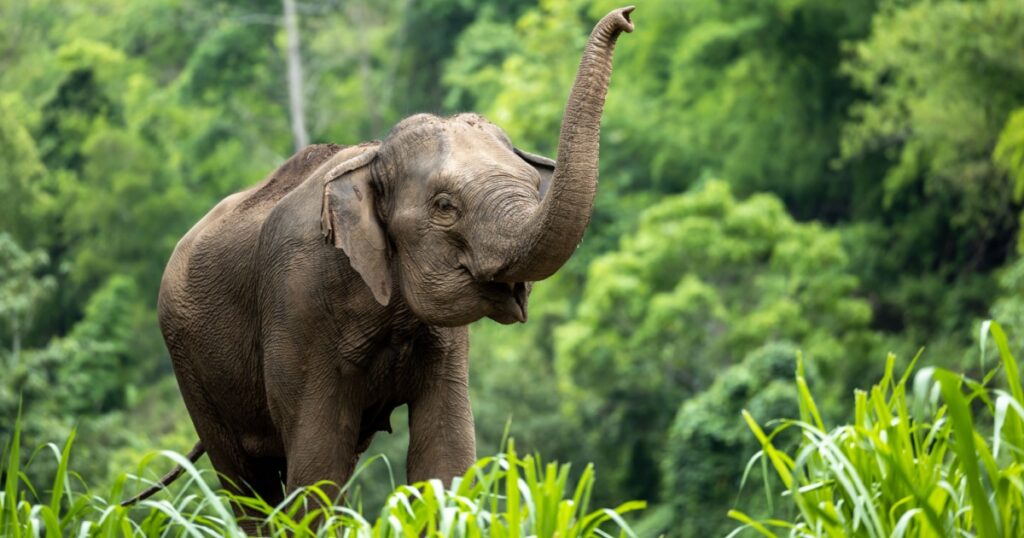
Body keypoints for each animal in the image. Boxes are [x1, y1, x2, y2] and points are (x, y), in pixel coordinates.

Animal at [123, 5, 634, 523]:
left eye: (533, 185)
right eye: (445, 206)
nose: (627, 16)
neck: (371, 156)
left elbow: (445, 454)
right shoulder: (298, 302)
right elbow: (317, 465)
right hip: (190, 364)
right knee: (247, 482)